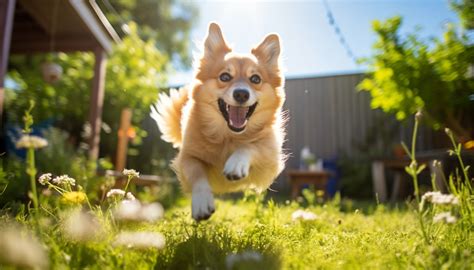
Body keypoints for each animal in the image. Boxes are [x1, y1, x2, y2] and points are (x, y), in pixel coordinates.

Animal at [151, 22, 286, 221]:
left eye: (255, 79)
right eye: (225, 77)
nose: (241, 94)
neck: (228, 136)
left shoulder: (269, 163)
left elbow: (250, 146)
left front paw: (236, 162)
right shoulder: (187, 158)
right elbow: (197, 173)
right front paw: (201, 202)